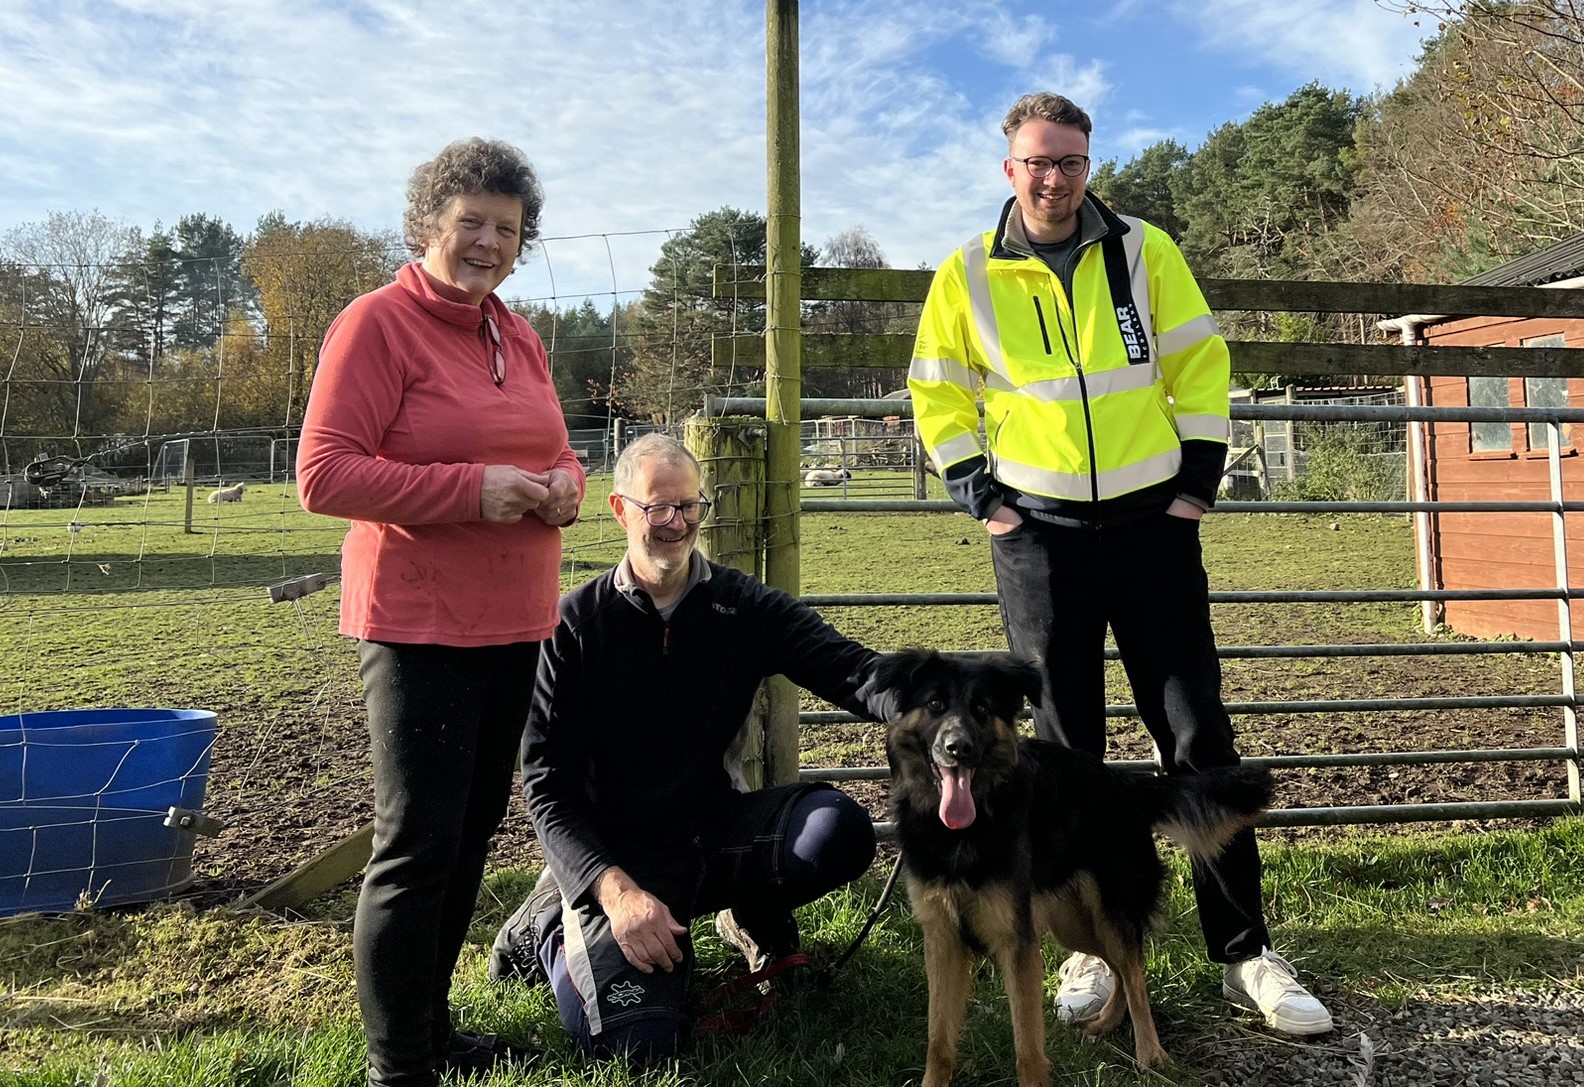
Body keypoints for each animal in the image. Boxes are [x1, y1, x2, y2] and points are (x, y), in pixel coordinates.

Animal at [880, 652, 1273, 1083]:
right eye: (935, 704)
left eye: (981, 709)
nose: (958, 749)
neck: (966, 827)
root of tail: (1125, 783)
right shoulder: (942, 940)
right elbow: (938, 1037)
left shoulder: (1017, 943)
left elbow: (1027, 1041)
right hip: (1072, 922)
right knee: (1122, 969)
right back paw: (1106, 1021)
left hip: (1109, 913)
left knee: (1135, 973)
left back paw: (1150, 1053)